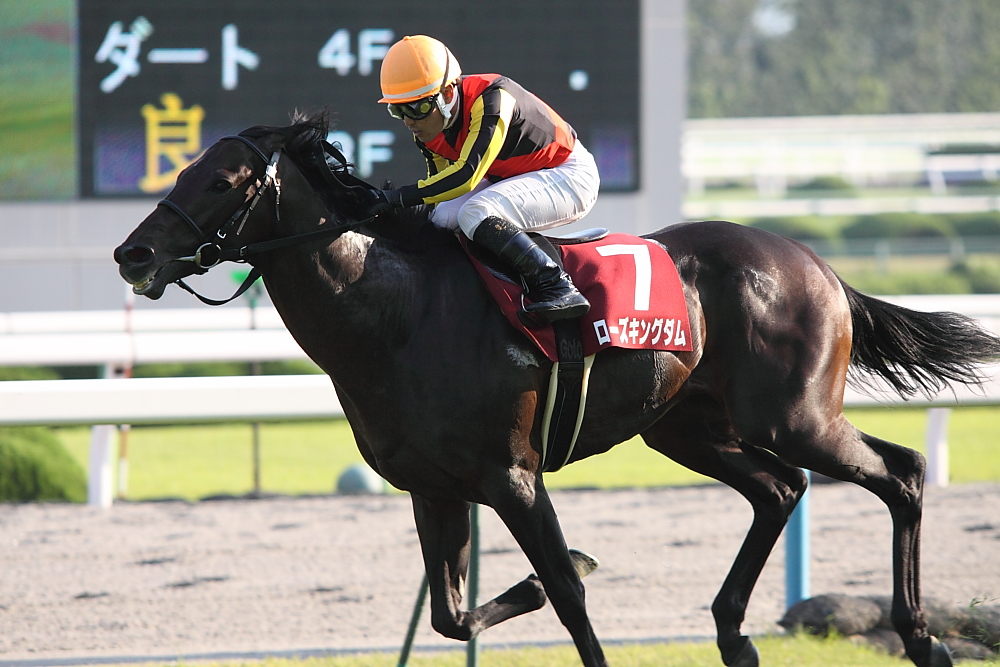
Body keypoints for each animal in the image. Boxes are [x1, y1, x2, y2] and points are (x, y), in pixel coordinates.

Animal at [114, 113, 1000, 667]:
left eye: (224, 179)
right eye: (183, 165)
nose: (133, 254)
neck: (394, 312)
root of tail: (815, 264)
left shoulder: (511, 474)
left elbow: (571, 596)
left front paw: (564, 566)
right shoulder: (433, 486)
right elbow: (451, 612)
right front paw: (541, 574)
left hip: (793, 414)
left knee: (901, 473)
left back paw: (924, 637)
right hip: (687, 426)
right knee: (779, 489)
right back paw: (734, 633)